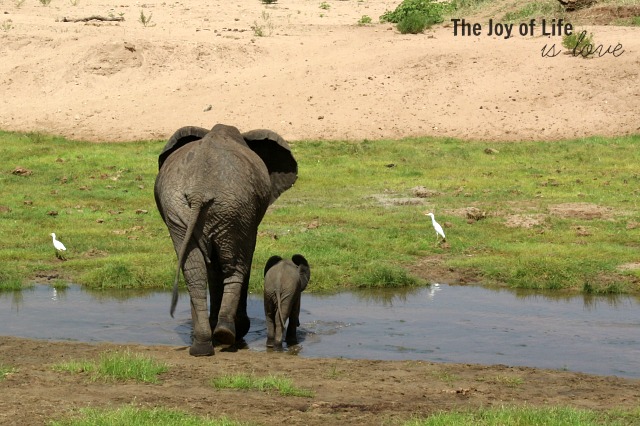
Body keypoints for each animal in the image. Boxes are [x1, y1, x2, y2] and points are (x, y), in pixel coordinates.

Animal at [154, 123, 297, 356]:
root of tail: (199, 191)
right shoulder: (247, 220)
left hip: (184, 208)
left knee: (194, 270)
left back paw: (203, 345)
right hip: (235, 209)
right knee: (235, 265)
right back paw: (228, 333)